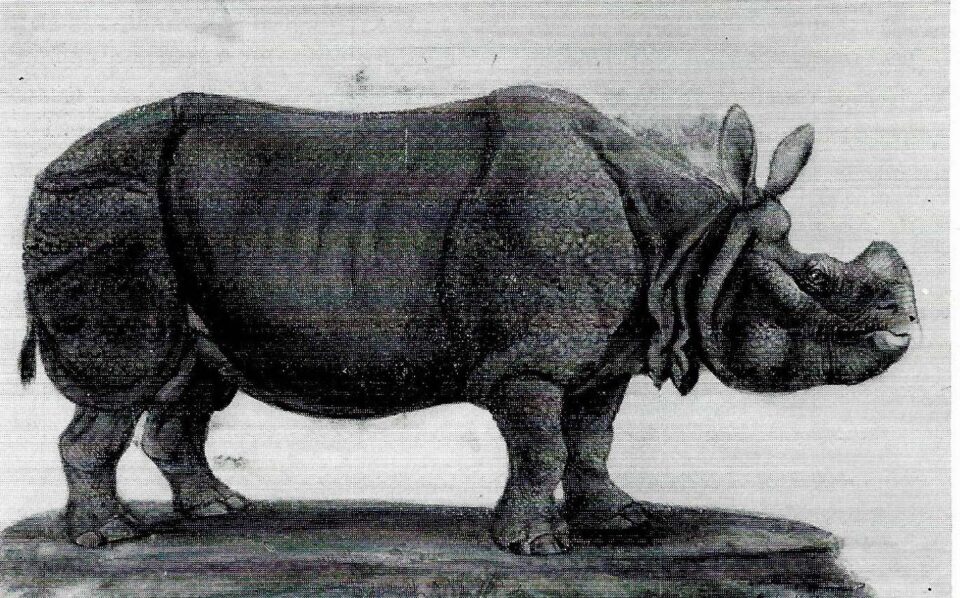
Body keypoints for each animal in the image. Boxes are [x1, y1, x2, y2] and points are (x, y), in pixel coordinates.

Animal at [20, 86, 917, 554]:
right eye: (820, 278)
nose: (906, 319)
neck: (690, 243)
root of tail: (53, 164)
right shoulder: (527, 361)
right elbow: (542, 443)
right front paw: (538, 547)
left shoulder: (610, 351)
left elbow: (593, 438)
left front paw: (621, 521)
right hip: (106, 202)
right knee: (123, 381)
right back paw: (114, 540)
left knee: (192, 376)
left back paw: (219, 512)